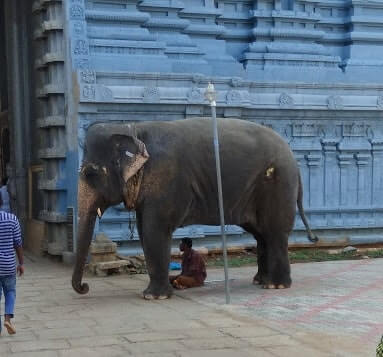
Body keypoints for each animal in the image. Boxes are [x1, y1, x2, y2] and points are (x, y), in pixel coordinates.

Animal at [73, 117, 318, 298]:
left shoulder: (165, 179)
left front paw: (154, 297)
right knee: (261, 234)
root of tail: (293, 160)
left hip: (278, 184)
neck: (132, 128)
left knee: (275, 232)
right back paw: (260, 281)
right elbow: (144, 232)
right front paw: (154, 294)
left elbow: (154, 231)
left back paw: (275, 286)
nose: (85, 288)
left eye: (90, 173)